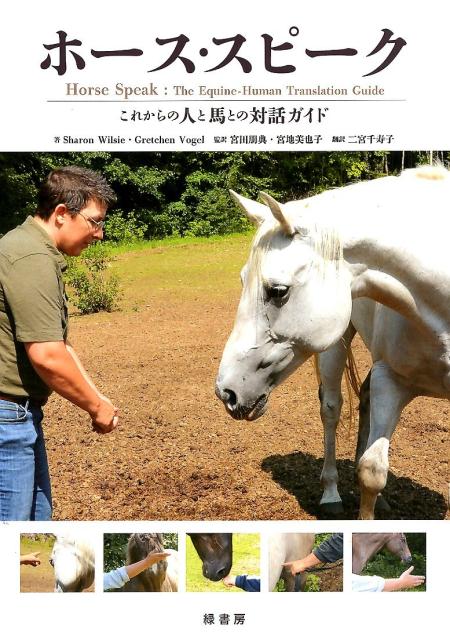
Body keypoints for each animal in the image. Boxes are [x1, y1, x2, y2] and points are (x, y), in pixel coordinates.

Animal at [215, 166, 450, 519]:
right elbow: (371, 471)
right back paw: (331, 494)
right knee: (331, 409)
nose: (226, 392)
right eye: (243, 280)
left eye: (278, 290)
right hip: (335, 348)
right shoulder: (391, 379)